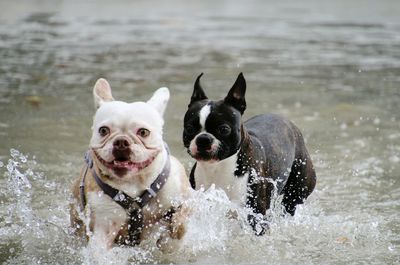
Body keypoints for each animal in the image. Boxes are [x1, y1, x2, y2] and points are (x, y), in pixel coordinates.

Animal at [183, 72, 318, 233]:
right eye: (189, 129)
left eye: (224, 129)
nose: (203, 139)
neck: (218, 167)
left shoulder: (255, 215)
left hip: (297, 189)